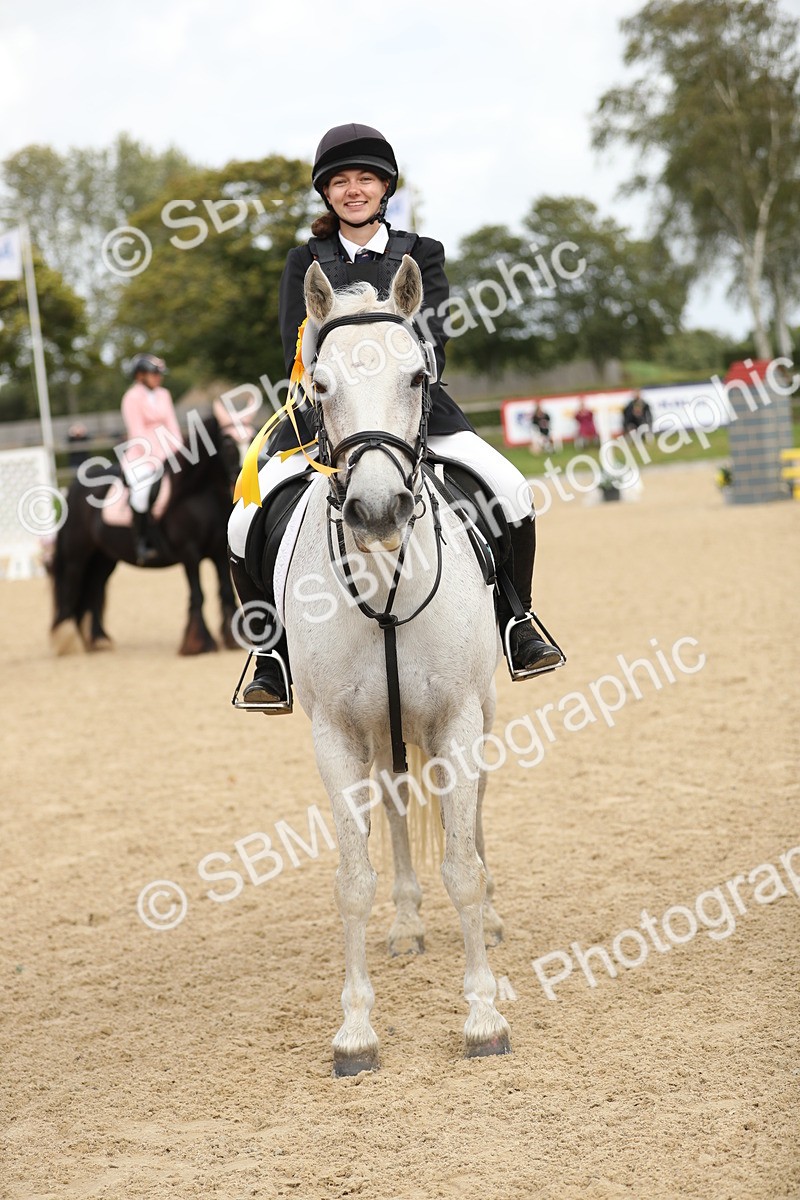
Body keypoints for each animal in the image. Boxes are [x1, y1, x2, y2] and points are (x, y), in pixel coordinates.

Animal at [50, 413, 240, 656]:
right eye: (229, 445)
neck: (199, 495)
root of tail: (74, 487)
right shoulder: (190, 553)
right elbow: (198, 595)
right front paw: (198, 644)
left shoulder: (217, 552)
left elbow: (226, 592)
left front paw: (234, 639)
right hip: (77, 555)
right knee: (70, 588)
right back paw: (66, 640)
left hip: (104, 559)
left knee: (95, 590)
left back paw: (99, 640)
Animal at [277, 257, 511, 1075]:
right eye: (319, 385)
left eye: (417, 375)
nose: (377, 512)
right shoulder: (337, 733)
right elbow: (353, 879)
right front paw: (355, 1031)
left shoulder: (458, 715)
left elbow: (464, 865)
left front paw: (483, 1016)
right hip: (385, 729)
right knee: (398, 803)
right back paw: (407, 923)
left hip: (476, 712)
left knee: (474, 816)